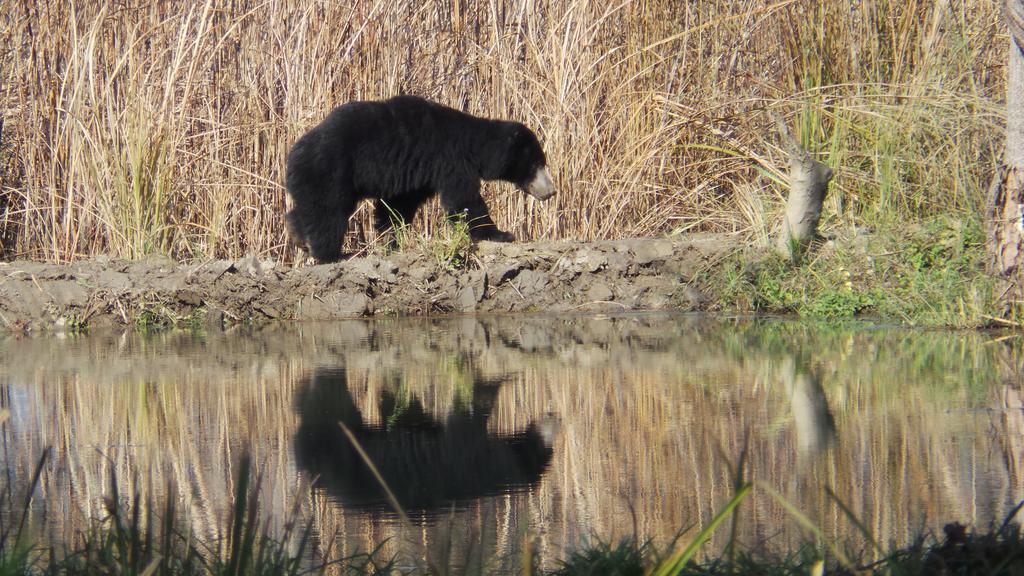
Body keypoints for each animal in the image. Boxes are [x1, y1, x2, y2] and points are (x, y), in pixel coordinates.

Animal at [284, 95, 557, 261]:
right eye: (536, 164)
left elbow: (398, 205)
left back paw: (298, 235)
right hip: (331, 171)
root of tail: (293, 153)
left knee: (309, 208)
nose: (551, 191)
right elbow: (463, 200)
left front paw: (392, 236)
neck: (473, 144)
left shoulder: (416, 172)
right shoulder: (449, 160)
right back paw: (329, 253)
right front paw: (500, 233)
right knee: (327, 214)